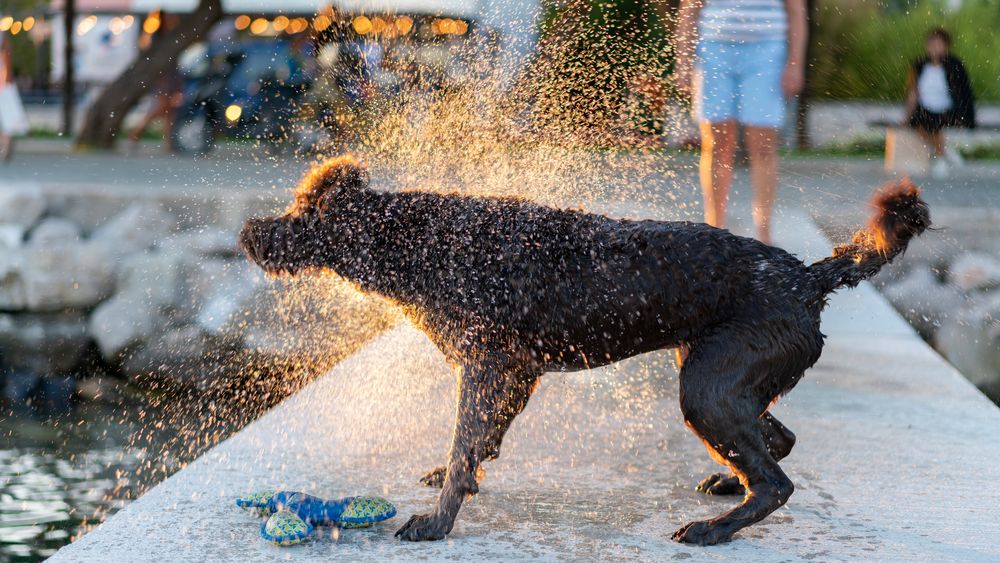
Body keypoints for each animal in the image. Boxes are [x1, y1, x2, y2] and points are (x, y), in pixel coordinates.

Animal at [238, 155, 924, 548]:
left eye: (299, 212)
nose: (249, 232)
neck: (420, 244)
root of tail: (808, 278)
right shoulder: (515, 373)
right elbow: (478, 445)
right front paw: (463, 482)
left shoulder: (487, 368)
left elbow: (464, 448)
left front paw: (437, 522)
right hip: (717, 377)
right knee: (777, 442)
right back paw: (729, 483)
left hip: (706, 387)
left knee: (777, 482)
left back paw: (715, 530)